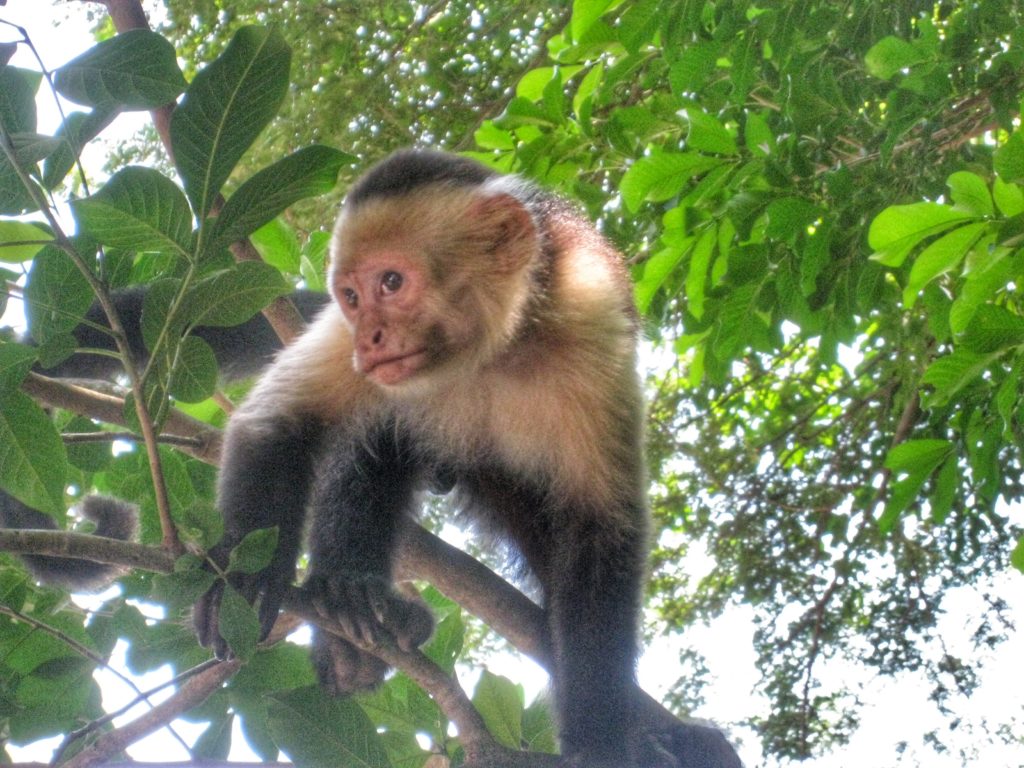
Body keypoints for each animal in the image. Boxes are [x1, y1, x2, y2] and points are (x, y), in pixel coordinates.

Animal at [194, 150, 663, 768]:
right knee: (376, 438)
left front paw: (599, 741)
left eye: (391, 282)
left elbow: (601, 527)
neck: (487, 353)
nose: (369, 337)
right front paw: (243, 581)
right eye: (351, 296)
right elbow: (277, 424)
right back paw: (351, 611)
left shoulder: (591, 312)